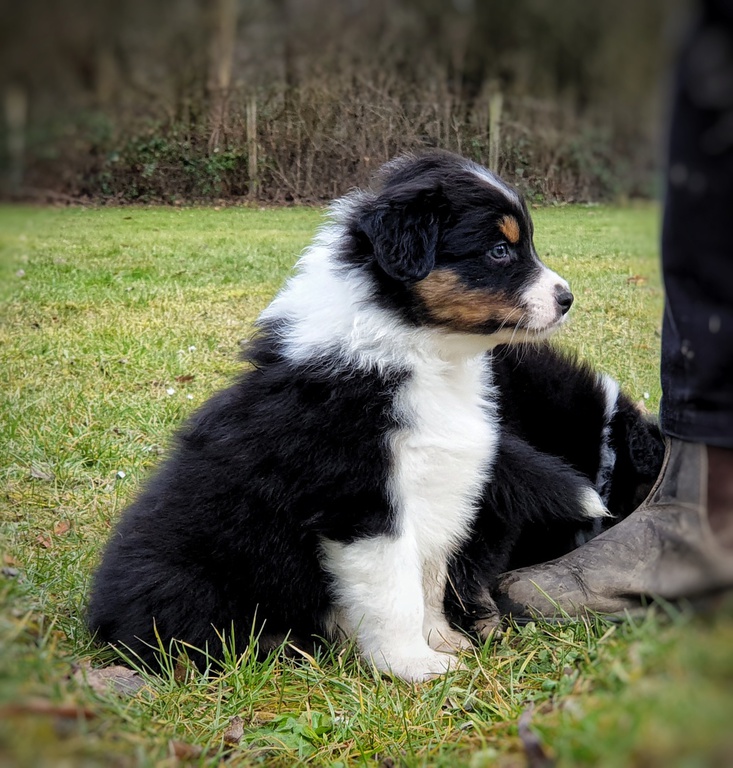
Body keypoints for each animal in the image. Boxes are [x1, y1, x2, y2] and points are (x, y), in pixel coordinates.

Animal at [88, 151, 659, 682]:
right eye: (499, 250)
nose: (567, 299)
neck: (424, 352)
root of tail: (100, 620)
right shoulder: (363, 504)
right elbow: (396, 593)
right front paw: (415, 666)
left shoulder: (442, 491)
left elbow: (430, 578)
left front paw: (444, 641)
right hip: (188, 578)